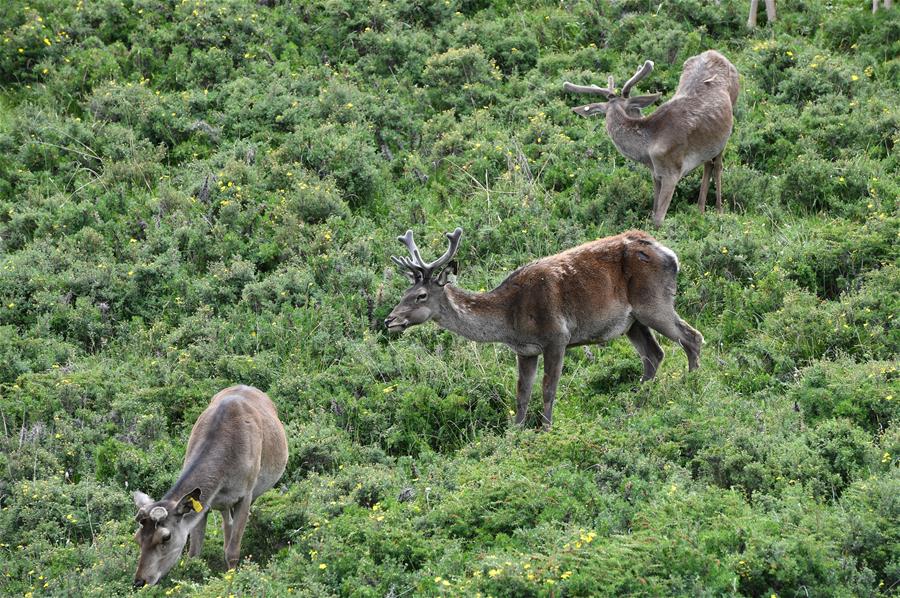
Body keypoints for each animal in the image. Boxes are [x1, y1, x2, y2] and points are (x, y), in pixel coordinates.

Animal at [128, 386, 284, 588]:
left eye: (166, 536)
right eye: (137, 537)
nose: (140, 581)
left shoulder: (246, 494)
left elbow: (233, 551)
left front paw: (230, 581)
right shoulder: (203, 505)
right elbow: (194, 553)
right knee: (226, 521)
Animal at [384, 227, 704, 428]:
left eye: (420, 295)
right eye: (403, 293)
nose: (390, 320)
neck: (511, 318)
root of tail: (671, 255)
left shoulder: (556, 337)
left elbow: (548, 389)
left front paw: (547, 429)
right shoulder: (526, 350)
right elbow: (522, 393)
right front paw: (515, 431)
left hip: (654, 303)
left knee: (692, 337)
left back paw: (692, 388)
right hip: (632, 322)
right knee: (654, 355)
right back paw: (637, 401)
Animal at [564, 49, 740, 226]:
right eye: (635, 109)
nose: (641, 115)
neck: (649, 149)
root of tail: (715, 53)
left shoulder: (672, 172)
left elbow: (658, 219)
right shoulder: (655, 174)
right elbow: (653, 212)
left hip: (730, 114)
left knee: (717, 165)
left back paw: (718, 210)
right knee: (708, 163)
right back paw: (700, 209)